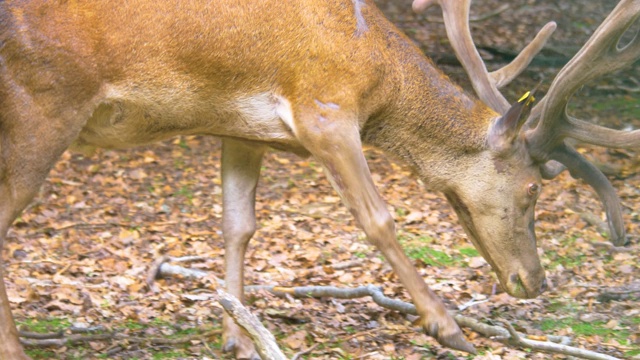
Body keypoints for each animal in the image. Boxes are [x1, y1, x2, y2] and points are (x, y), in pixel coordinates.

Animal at [0, 0, 636, 358]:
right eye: (534, 188)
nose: (535, 280)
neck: (378, 71)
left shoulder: (242, 129)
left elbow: (238, 225)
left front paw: (237, 337)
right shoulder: (326, 109)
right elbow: (378, 219)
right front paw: (447, 326)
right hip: (43, 105)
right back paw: (18, 349)